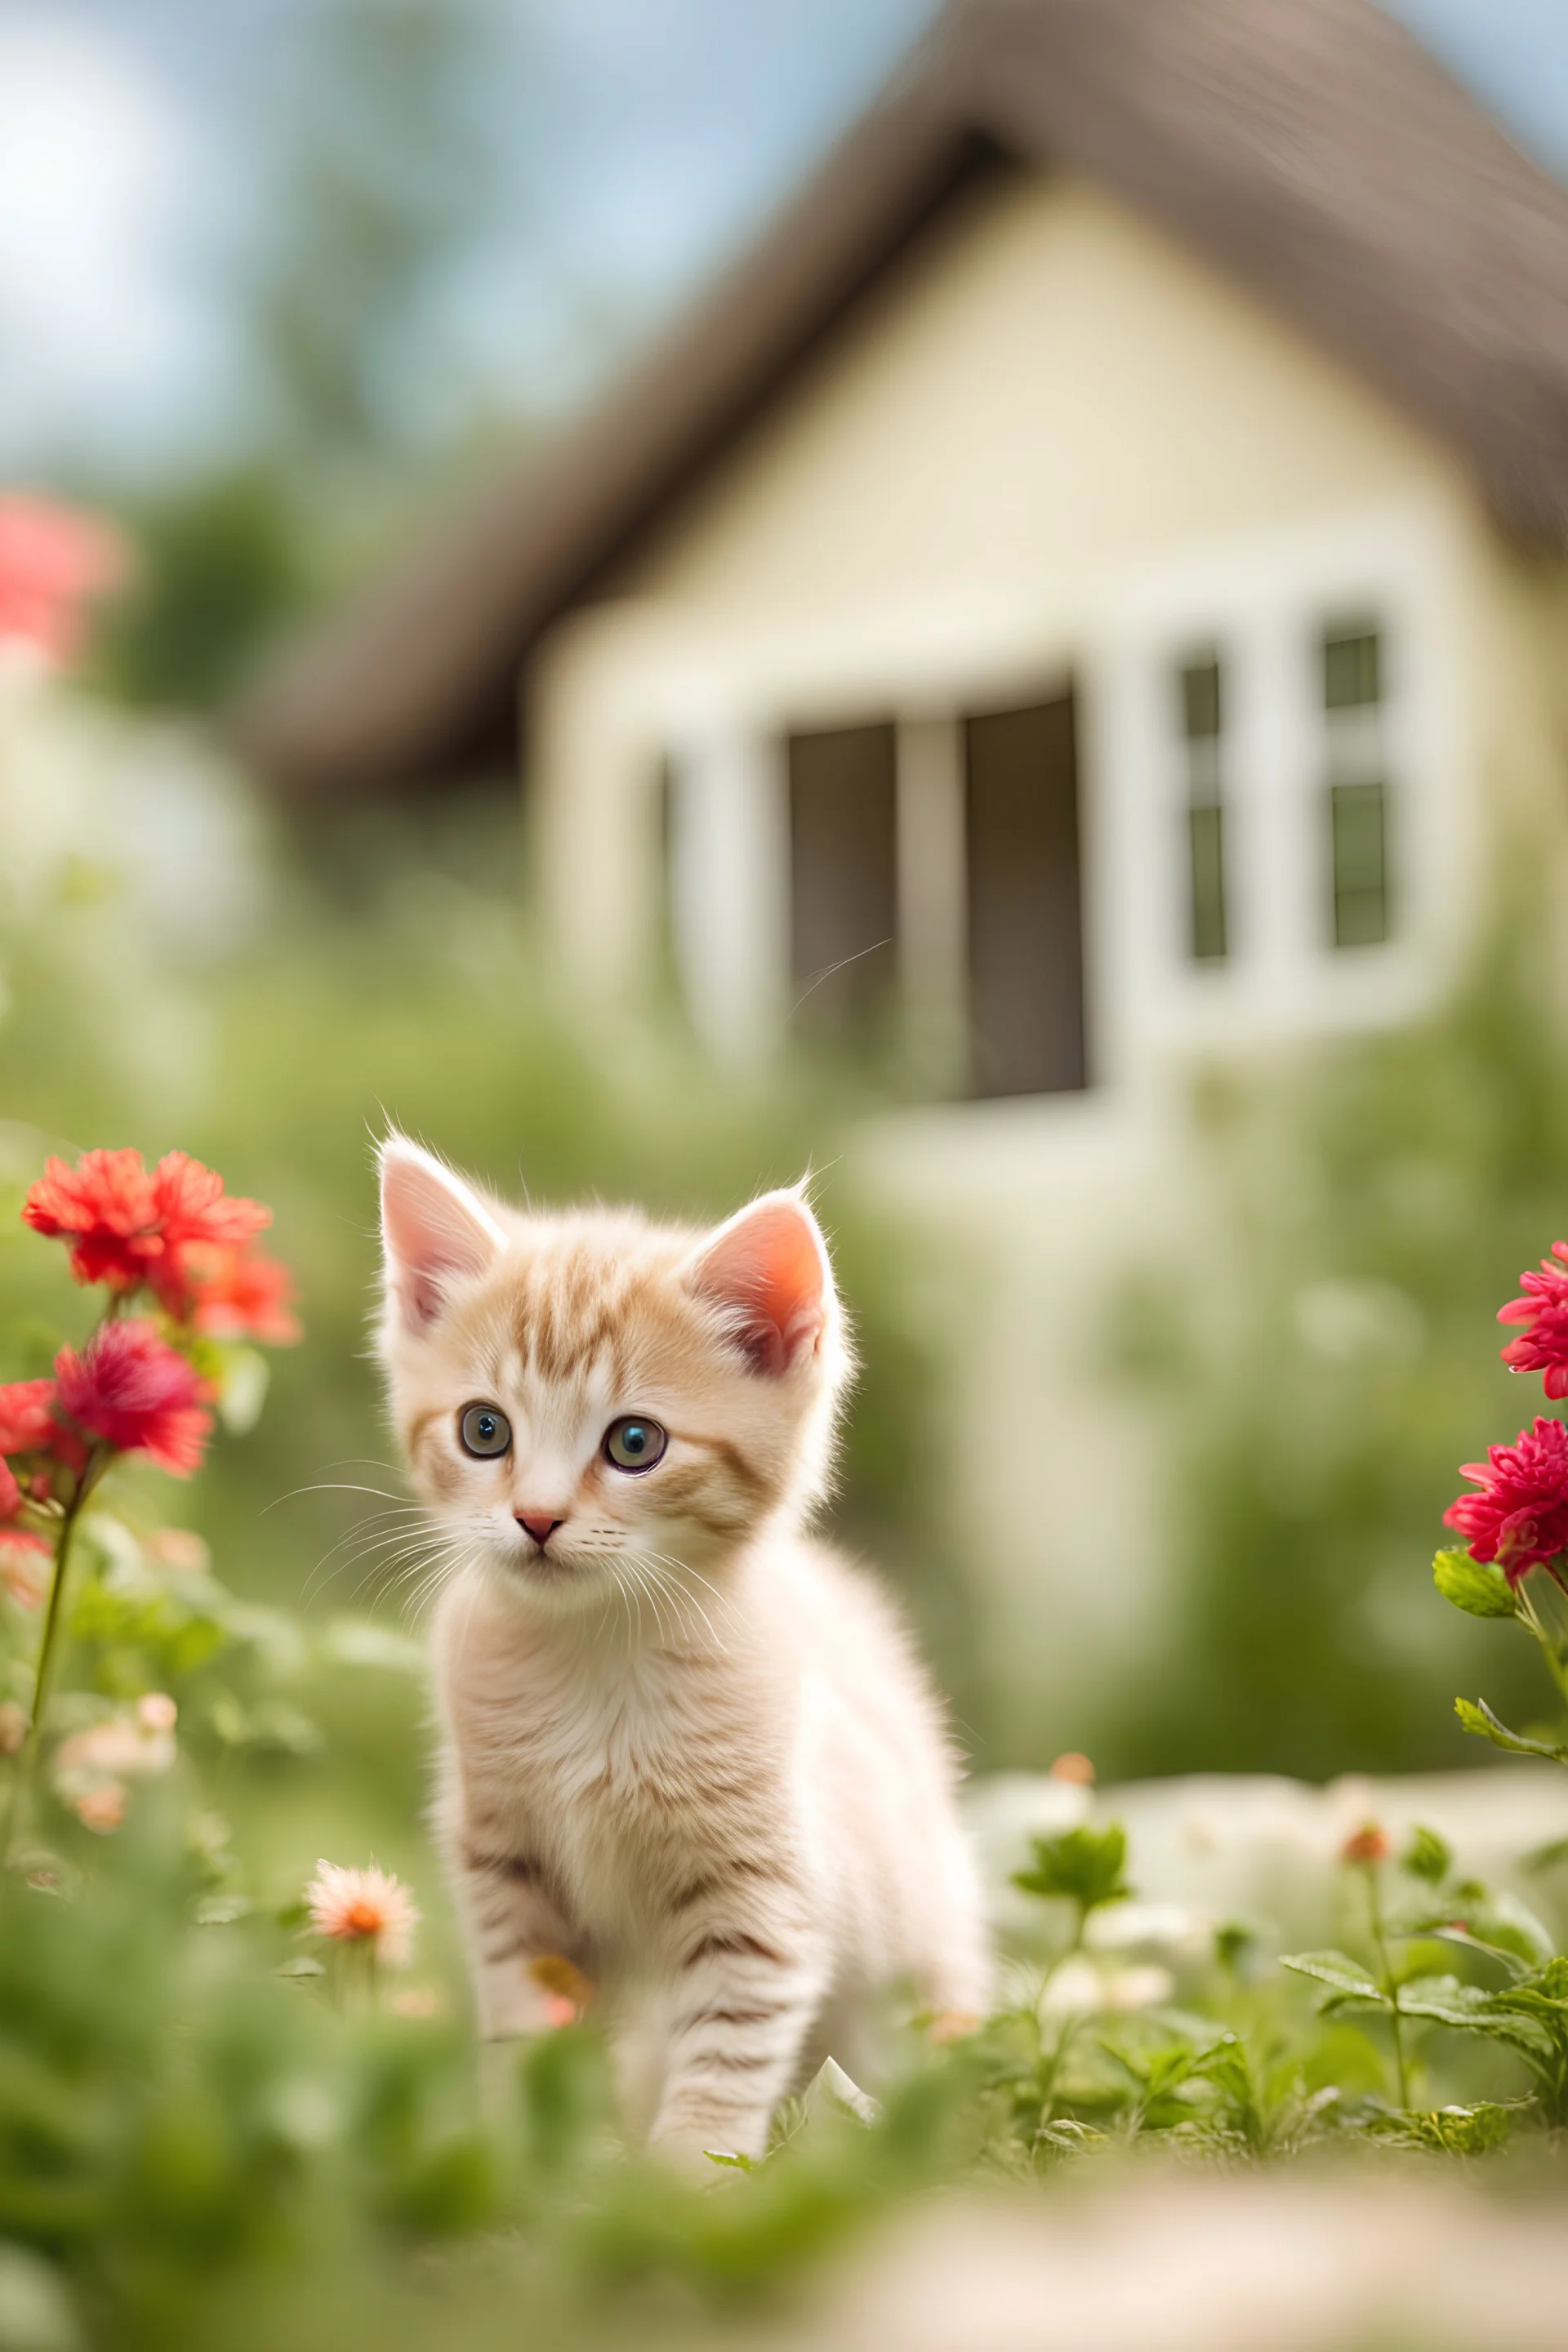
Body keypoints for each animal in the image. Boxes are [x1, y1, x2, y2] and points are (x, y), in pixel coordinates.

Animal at [378, 1138, 987, 2163]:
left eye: (634, 1443)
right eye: (483, 1429)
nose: (536, 1518)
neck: (595, 1657)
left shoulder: (766, 1892)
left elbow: (729, 2044)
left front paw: (685, 2176)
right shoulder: (505, 1866)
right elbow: (530, 2017)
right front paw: (536, 2149)